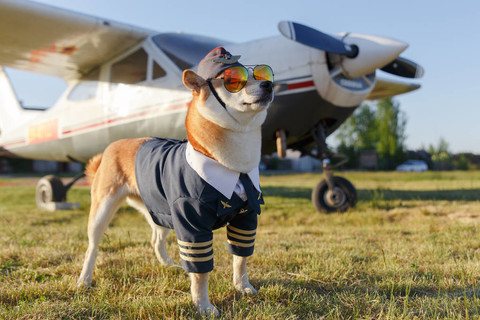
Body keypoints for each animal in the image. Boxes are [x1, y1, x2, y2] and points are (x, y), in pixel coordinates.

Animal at [76, 47, 274, 316]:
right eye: (234, 80)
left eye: (262, 74)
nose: (269, 84)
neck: (232, 166)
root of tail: (111, 145)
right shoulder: (191, 223)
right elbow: (200, 274)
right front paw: (203, 305)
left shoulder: (246, 218)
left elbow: (241, 258)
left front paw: (243, 287)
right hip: (103, 210)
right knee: (92, 247)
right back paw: (84, 280)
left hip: (160, 212)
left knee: (156, 240)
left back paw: (170, 266)